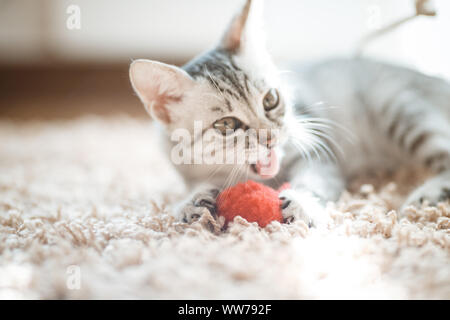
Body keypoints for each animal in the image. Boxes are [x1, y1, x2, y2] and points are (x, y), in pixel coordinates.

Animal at [130, 0, 450, 226]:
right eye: (226, 124)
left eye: (270, 99)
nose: (272, 138)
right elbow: (196, 186)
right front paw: (191, 201)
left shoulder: (319, 149)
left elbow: (314, 181)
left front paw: (303, 203)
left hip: (399, 110)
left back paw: (425, 194)